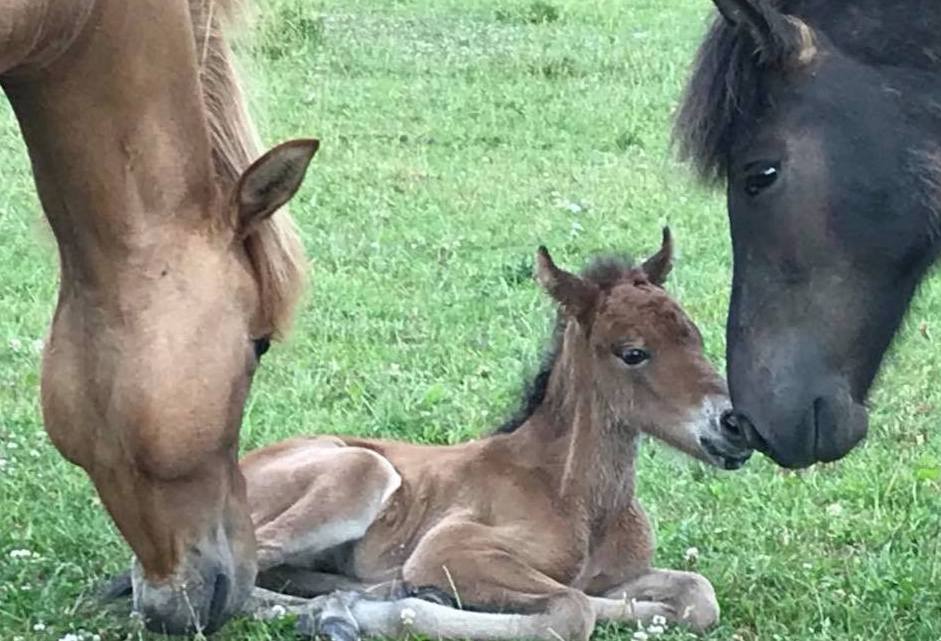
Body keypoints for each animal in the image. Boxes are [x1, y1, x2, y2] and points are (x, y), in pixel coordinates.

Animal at [241, 231, 748, 640]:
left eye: (695, 337)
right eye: (633, 353)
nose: (736, 424)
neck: (576, 497)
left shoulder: (618, 574)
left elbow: (697, 595)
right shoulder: (448, 548)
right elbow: (572, 608)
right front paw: (391, 609)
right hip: (362, 470)